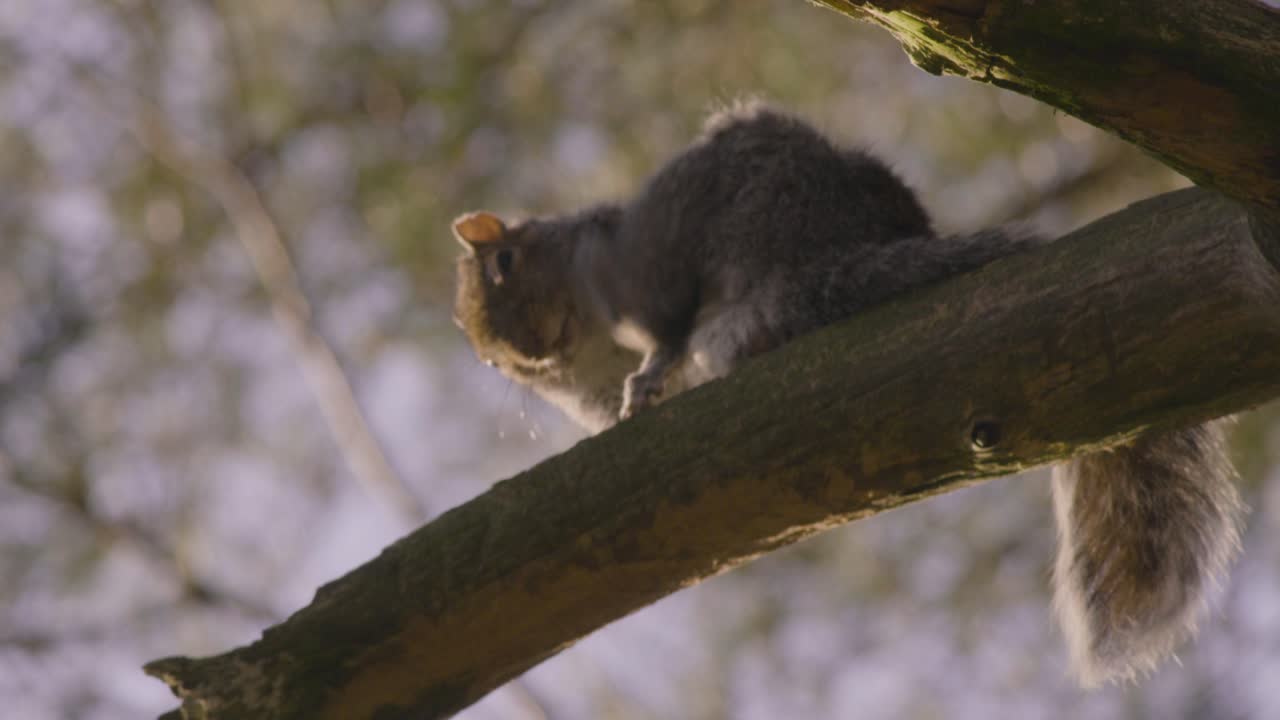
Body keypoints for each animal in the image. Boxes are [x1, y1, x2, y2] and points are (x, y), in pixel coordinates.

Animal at [451, 102, 1244, 687]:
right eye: (491, 363)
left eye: (505, 263)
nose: (528, 352)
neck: (593, 339)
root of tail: (827, 260)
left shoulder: (635, 266)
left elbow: (663, 325)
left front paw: (649, 370)